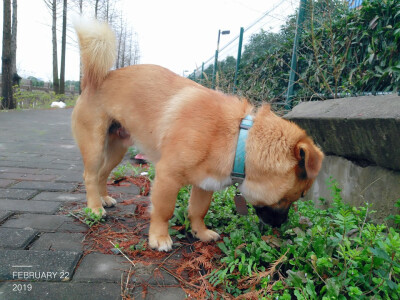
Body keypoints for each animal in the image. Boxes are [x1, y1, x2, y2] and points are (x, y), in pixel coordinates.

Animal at [71, 19, 322, 252]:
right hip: (95, 147)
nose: (281, 225)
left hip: (116, 150)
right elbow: (164, 211)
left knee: (102, 174)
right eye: (295, 197)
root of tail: (93, 80)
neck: (239, 141)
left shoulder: (205, 184)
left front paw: (200, 232)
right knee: (90, 176)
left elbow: (198, 210)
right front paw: (159, 237)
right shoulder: (167, 178)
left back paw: (104, 199)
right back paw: (95, 207)